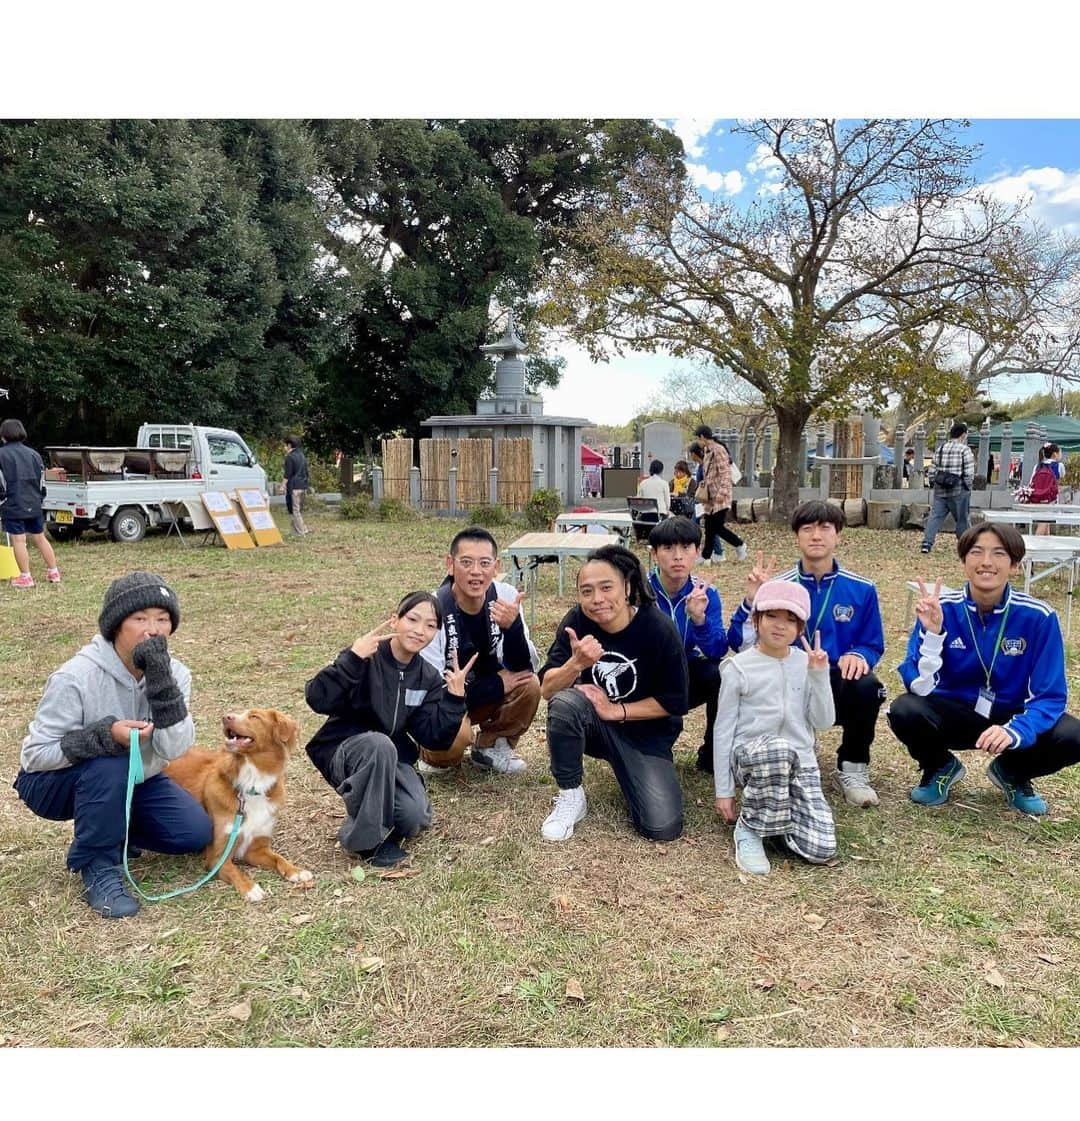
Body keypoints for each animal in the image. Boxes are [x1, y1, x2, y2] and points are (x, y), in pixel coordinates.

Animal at [167, 708, 311, 901]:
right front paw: (250, 888)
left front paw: (295, 870)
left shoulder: (256, 849)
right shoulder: (217, 856)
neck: (250, 786)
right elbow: (235, 871)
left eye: (254, 717)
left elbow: (278, 858)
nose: (226, 717)